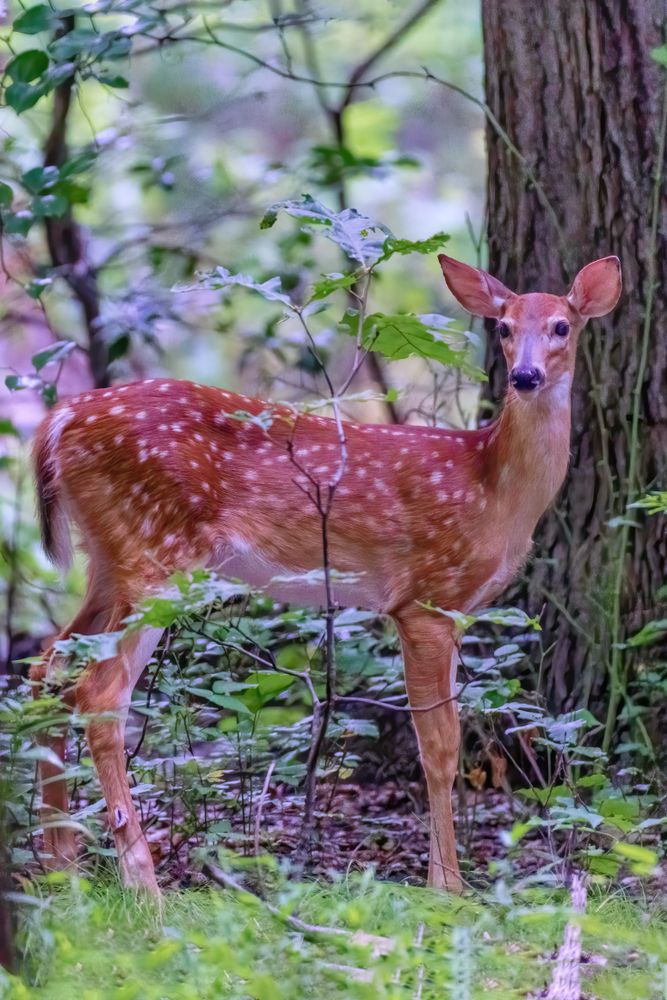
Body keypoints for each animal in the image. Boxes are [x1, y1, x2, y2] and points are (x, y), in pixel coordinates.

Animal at [29, 253, 622, 894]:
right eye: (505, 328)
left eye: (561, 326)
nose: (525, 376)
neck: (493, 491)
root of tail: (59, 419)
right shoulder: (423, 600)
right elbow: (439, 747)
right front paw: (448, 887)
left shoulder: (453, 610)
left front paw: (444, 879)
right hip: (156, 552)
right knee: (99, 690)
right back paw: (143, 886)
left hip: (110, 557)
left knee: (49, 665)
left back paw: (61, 866)